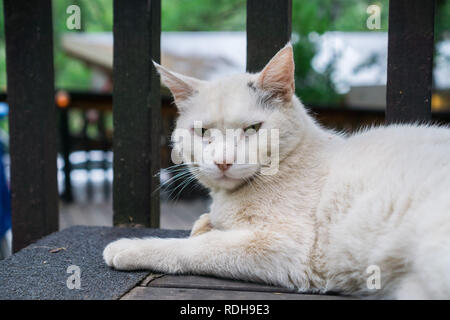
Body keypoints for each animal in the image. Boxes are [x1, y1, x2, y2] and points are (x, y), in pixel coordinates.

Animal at [103, 43, 450, 298]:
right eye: (202, 132)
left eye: (253, 128)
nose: (223, 161)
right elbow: (204, 228)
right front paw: (205, 222)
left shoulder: (287, 249)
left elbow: (197, 246)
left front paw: (132, 247)